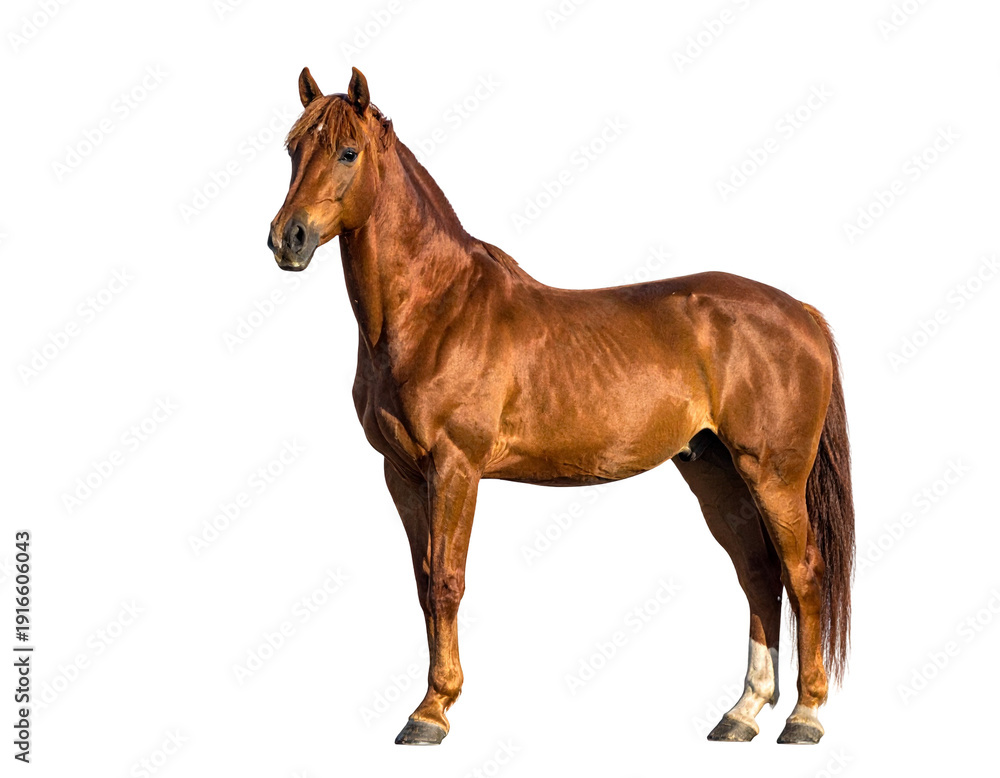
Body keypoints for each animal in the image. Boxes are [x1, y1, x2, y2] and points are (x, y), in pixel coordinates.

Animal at [267, 67, 854, 746]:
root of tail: (800, 312)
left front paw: (431, 712)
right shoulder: (403, 474)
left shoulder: (455, 469)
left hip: (775, 474)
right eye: (292, 149)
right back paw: (742, 713)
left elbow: (446, 583)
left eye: (347, 151)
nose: (287, 239)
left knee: (803, 573)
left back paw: (804, 716)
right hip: (715, 470)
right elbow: (422, 584)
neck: (435, 311)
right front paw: (430, 701)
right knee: (759, 574)